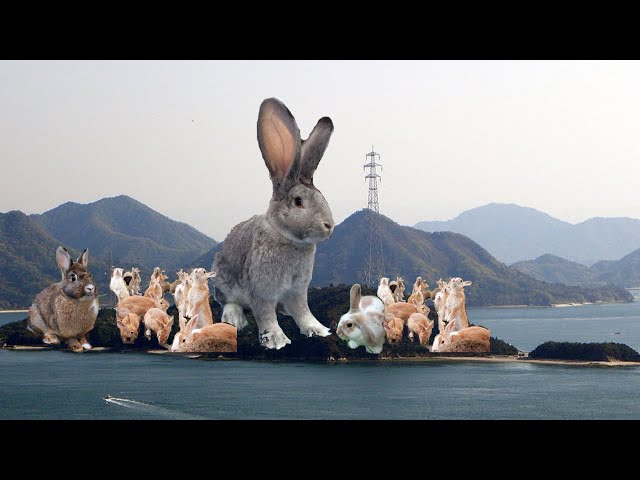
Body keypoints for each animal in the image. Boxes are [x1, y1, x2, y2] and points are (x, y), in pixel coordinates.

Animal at [212, 97, 334, 350]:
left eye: (322, 197)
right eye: (298, 201)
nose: (329, 226)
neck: (288, 239)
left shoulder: (298, 290)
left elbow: (303, 311)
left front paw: (318, 330)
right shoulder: (262, 290)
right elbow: (265, 314)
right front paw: (276, 340)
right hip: (224, 279)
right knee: (226, 300)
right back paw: (234, 318)